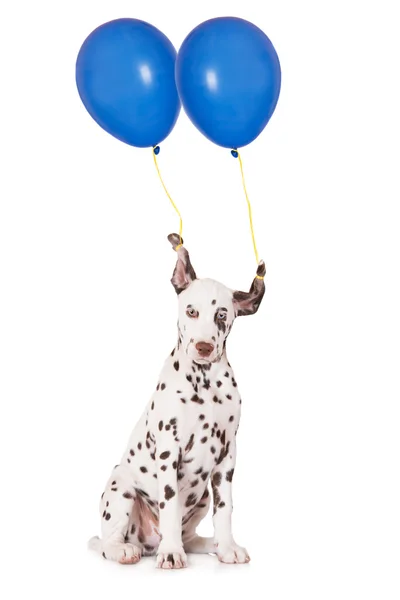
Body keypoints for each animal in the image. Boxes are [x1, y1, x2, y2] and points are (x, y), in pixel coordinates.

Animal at [89, 232, 268, 568]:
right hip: (120, 486)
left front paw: (227, 547)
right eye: (191, 311)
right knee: (105, 542)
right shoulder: (168, 449)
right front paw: (171, 552)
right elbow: (169, 504)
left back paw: (209, 544)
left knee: (192, 537)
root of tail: (146, 541)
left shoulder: (227, 455)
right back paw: (127, 550)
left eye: (222, 314)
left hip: (202, 496)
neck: (205, 383)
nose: (203, 347)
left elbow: (225, 508)